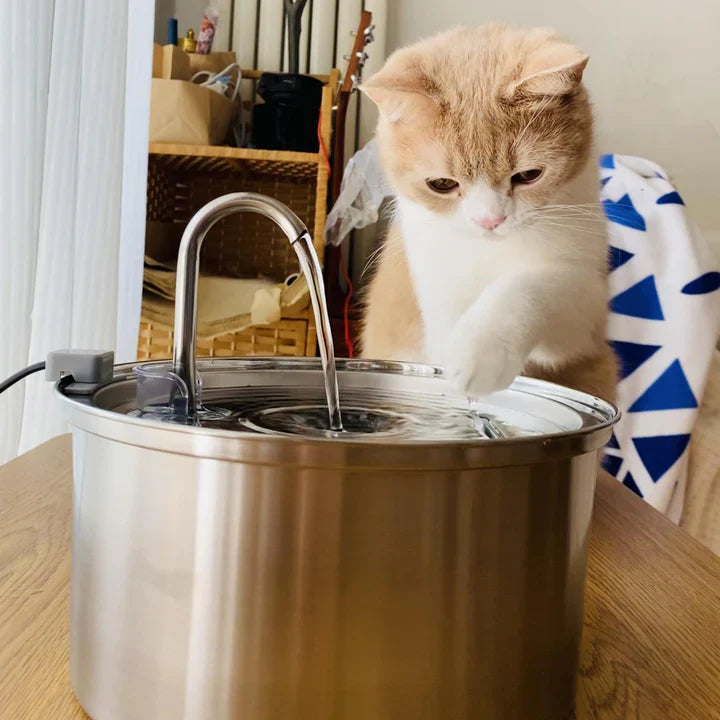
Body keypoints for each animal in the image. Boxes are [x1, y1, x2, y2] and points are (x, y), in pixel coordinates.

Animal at [360, 25, 620, 402]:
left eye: (528, 175)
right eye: (441, 183)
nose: (490, 221)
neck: (490, 251)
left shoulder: (585, 305)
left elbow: (528, 287)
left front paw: (480, 351)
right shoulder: (434, 293)